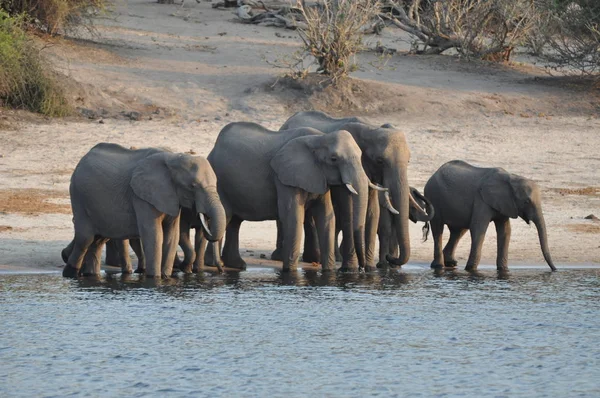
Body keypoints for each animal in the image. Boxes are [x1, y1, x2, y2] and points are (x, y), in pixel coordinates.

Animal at [62, 145, 227, 278]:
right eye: (192, 186)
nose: (222, 271)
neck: (173, 158)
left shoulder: (172, 196)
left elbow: (171, 236)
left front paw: (166, 277)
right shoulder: (141, 196)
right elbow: (154, 235)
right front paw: (154, 279)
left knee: (98, 240)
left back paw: (91, 275)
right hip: (78, 195)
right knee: (85, 238)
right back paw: (70, 274)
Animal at [276, 110, 432, 268]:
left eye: (408, 161)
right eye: (380, 161)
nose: (390, 258)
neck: (370, 129)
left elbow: (373, 211)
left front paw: (369, 268)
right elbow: (350, 208)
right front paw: (354, 267)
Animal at [422, 160, 556, 272]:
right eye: (526, 202)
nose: (554, 269)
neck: (511, 178)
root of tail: (433, 175)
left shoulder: (504, 203)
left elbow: (505, 232)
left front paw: (503, 270)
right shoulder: (482, 200)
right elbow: (478, 228)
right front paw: (470, 269)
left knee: (458, 232)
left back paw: (449, 263)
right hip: (433, 197)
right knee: (438, 229)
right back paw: (439, 266)